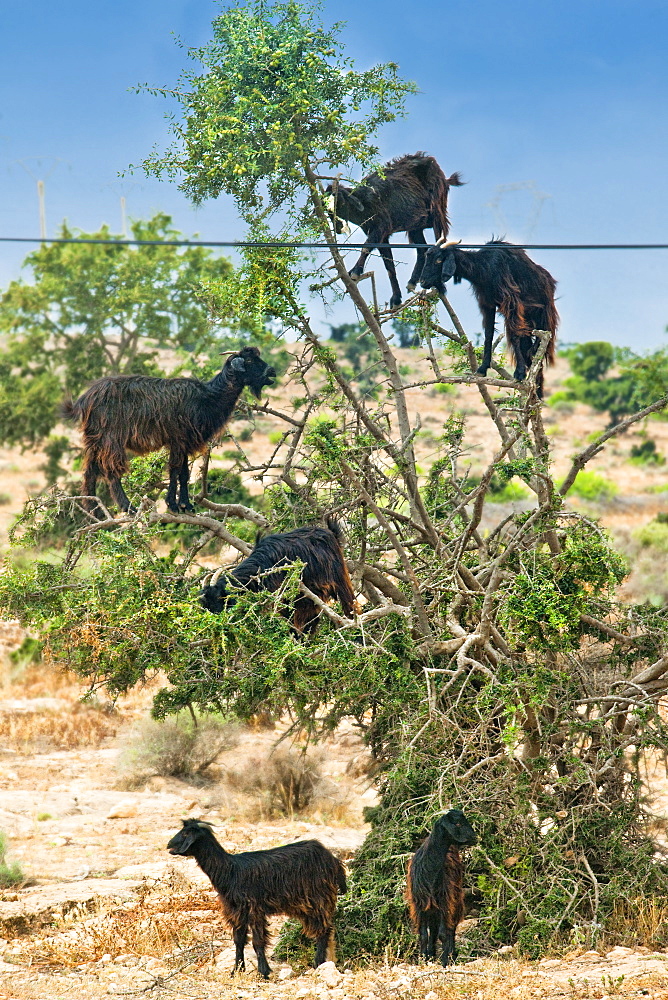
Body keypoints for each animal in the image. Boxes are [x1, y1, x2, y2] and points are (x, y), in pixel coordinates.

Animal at [63, 346, 276, 516]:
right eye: (249, 360)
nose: (272, 371)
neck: (207, 397)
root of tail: (85, 398)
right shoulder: (178, 438)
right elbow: (174, 470)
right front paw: (173, 505)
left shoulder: (184, 442)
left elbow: (184, 473)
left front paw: (186, 505)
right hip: (111, 436)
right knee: (111, 469)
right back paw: (127, 507)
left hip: (95, 437)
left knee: (90, 470)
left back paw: (94, 509)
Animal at [167, 820, 348, 976]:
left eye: (186, 833)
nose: (169, 845)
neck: (231, 871)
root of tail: (333, 860)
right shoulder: (236, 911)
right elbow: (239, 940)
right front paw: (237, 970)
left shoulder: (255, 908)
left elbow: (257, 942)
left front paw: (264, 972)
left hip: (318, 898)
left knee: (323, 930)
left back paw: (318, 963)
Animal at [198, 516, 358, 632]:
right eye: (205, 604)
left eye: (221, 598)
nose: (218, 623)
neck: (261, 567)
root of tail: (331, 533)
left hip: (339, 579)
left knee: (351, 608)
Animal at [324, 151, 462, 308]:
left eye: (339, 201)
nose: (338, 228)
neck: (365, 200)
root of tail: (445, 177)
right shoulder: (381, 235)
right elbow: (389, 265)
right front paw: (396, 298)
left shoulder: (381, 226)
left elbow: (366, 247)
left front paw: (355, 272)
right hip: (415, 224)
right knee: (422, 249)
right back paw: (412, 282)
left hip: (437, 211)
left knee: (441, 240)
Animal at [422, 239, 560, 398]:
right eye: (427, 257)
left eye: (439, 260)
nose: (422, 282)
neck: (484, 266)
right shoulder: (487, 303)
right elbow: (488, 334)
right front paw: (482, 369)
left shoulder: (511, 301)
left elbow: (514, 336)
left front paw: (519, 373)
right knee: (529, 348)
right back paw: (536, 389)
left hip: (543, 311)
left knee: (542, 341)